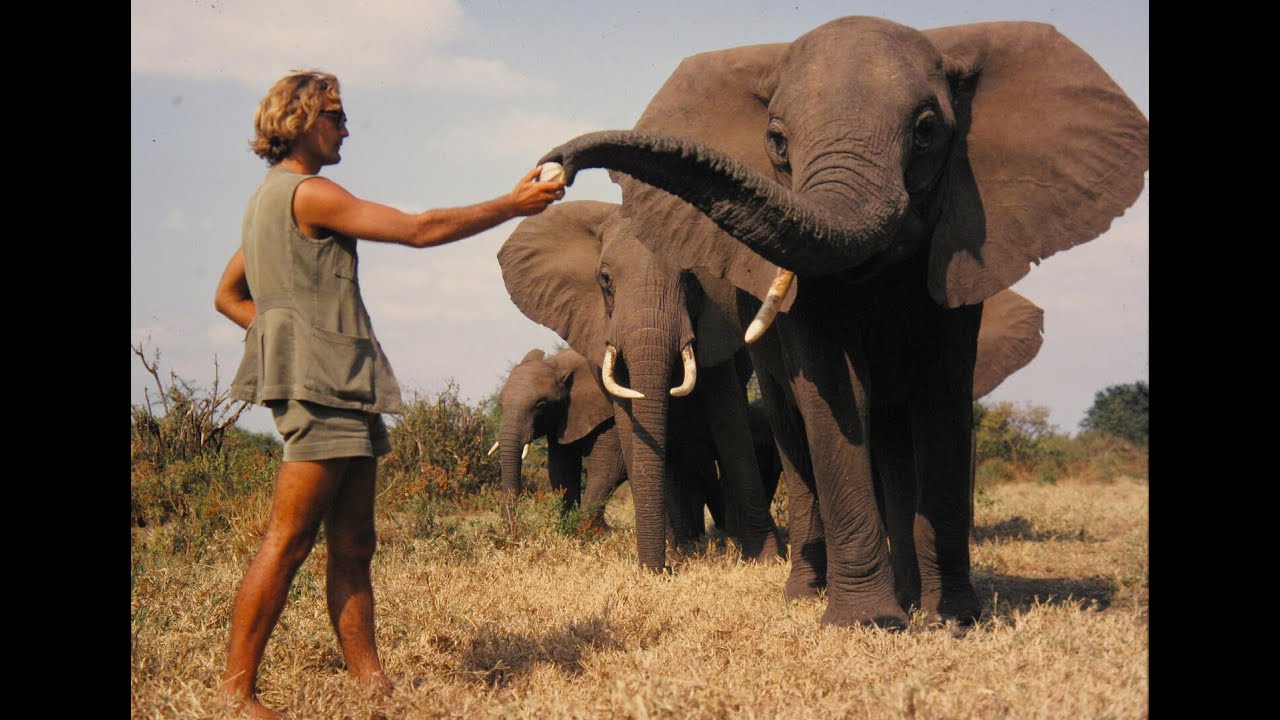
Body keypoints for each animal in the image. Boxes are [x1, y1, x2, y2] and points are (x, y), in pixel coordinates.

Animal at [499, 200, 784, 568]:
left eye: (691, 279)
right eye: (605, 279)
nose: (659, 568)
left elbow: (728, 421)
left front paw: (766, 559)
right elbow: (606, 440)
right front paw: (668, 559)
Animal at [537, 16, 1148, 627]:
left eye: (927, 131)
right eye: (777, 141)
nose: (554, 166)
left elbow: (942, 390)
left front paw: (952, 620)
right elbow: (834, 388)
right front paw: (868, 622)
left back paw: (910, 595)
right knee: (794, 428)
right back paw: (808, 593)